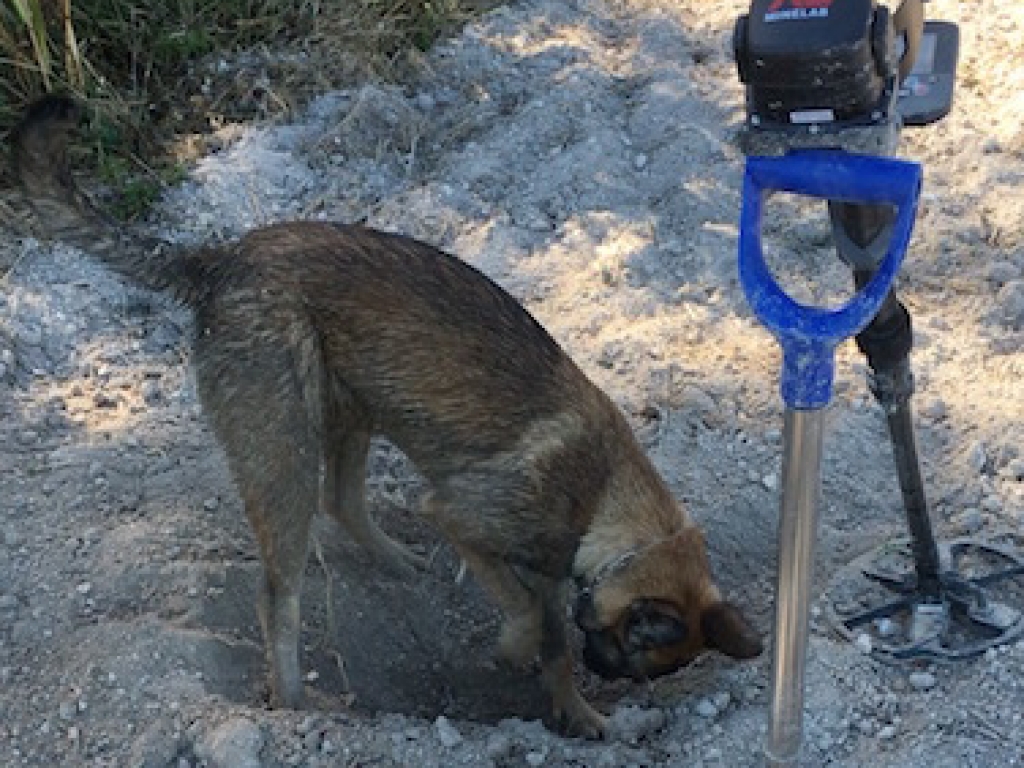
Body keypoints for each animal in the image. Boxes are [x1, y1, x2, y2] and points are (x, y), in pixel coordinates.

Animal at [4, 97, 761, 741]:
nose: (609, 670)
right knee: (279, 592)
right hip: (285, 453)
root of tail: (218, 260)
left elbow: (546, 630)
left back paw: (395, 562)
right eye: (624, 646)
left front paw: (569, 702)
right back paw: (295, 703)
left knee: (341, 501)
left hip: (356, 407)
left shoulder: (539, 564)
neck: (606, 497)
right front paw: (530, 661)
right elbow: (530, 619)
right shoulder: (464, 517)